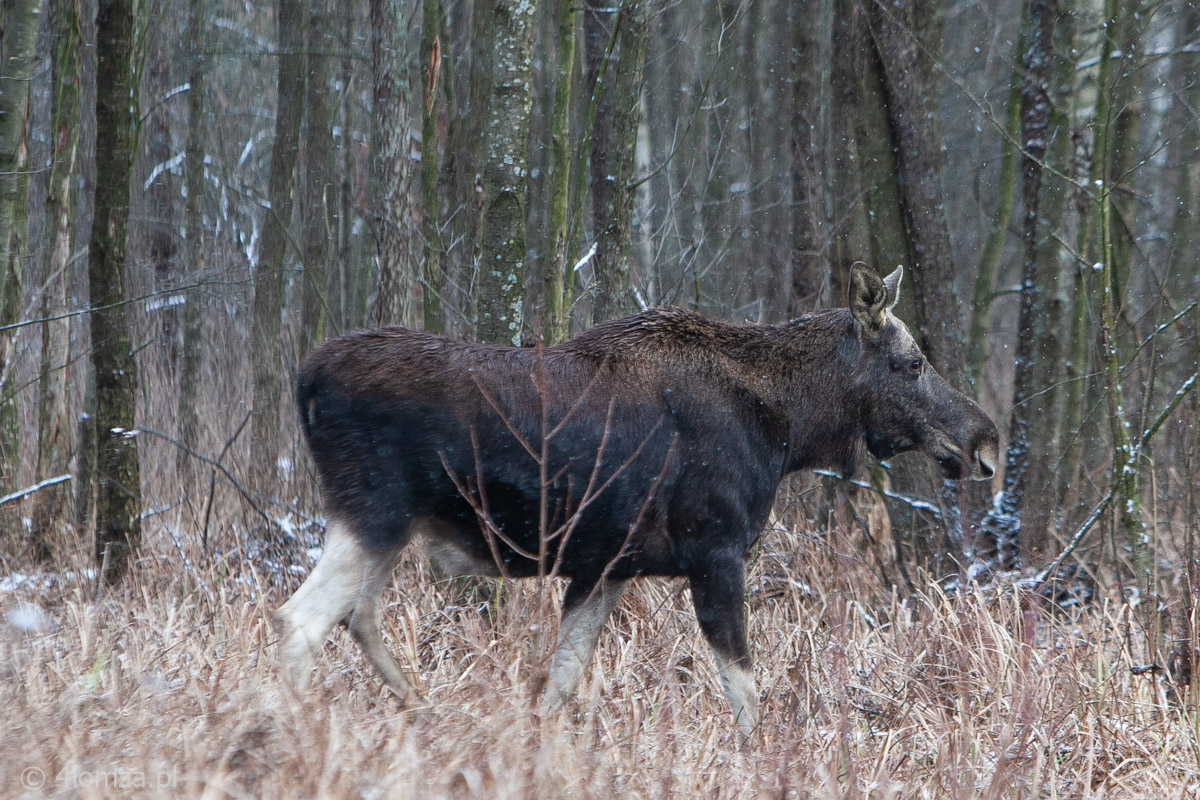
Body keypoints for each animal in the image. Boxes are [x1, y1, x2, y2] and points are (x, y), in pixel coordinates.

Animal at [276, 262, 998, 738]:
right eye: (911, 362)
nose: (982, 438)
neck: (788, 428)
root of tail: (305, 378)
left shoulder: (606, 568)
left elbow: (561, 682)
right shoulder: (715, 552)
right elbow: (745, 694)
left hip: (390, 527)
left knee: (358, 616)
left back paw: (420, 711)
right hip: (373, 512)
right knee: (302, 620)